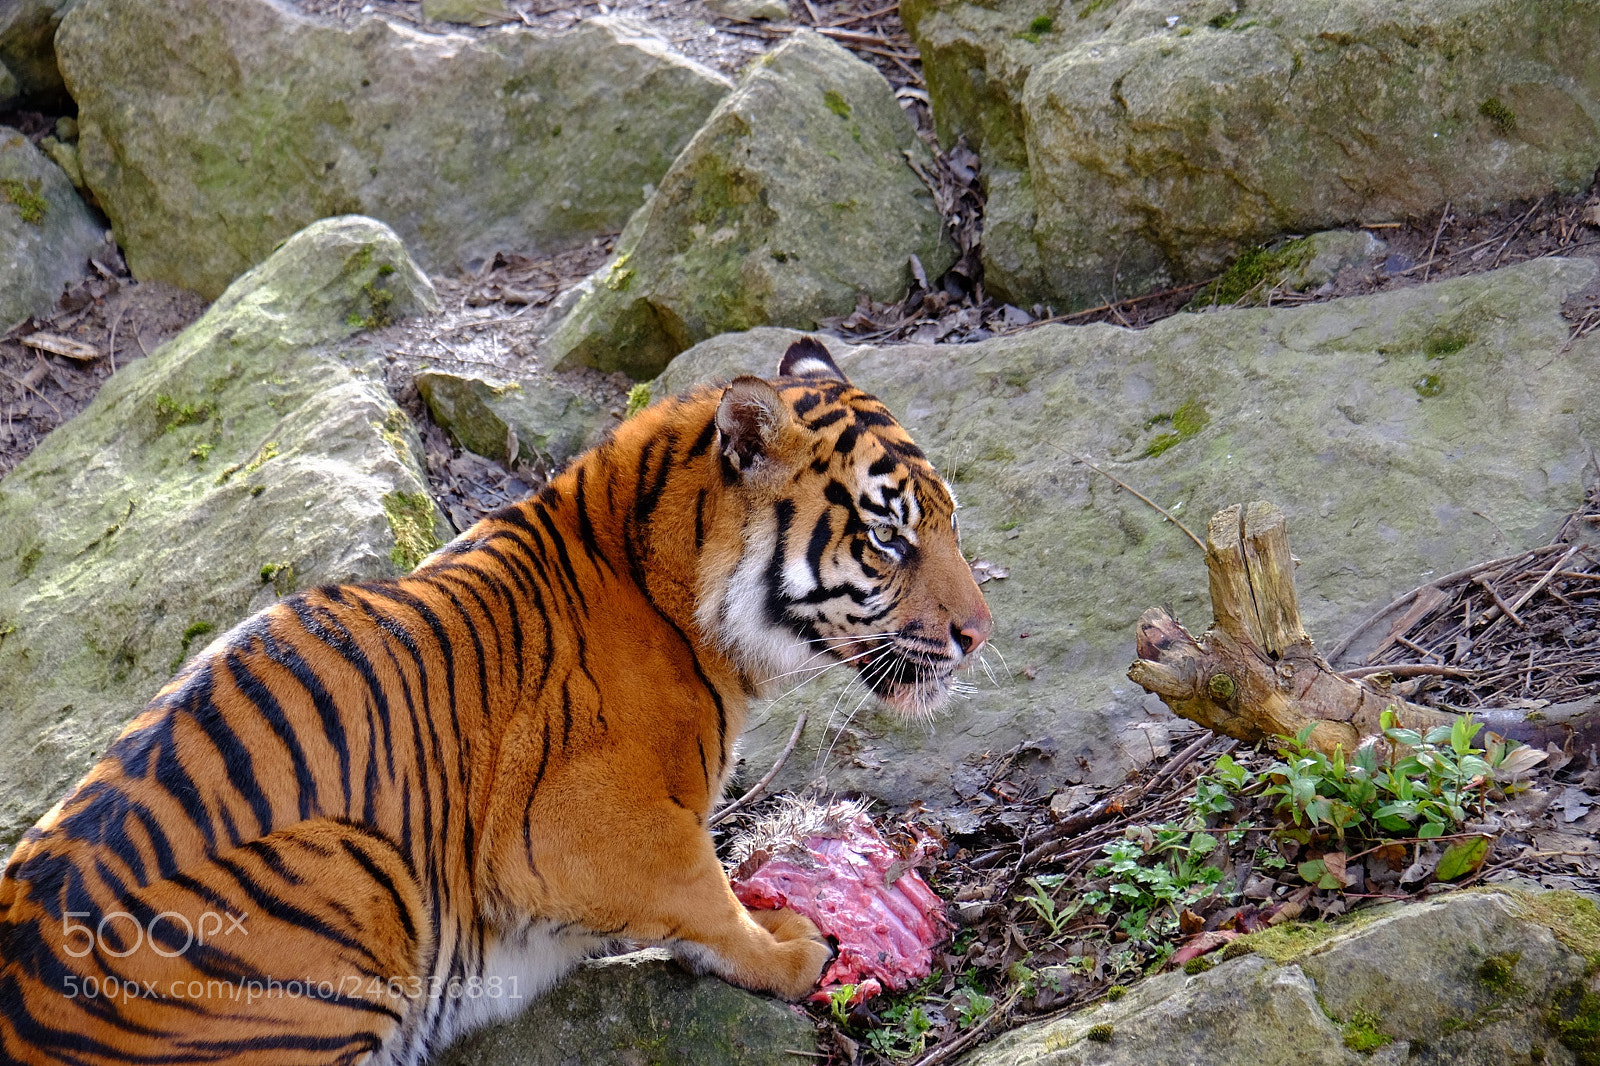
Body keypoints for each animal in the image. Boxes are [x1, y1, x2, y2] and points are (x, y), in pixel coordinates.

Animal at [0, 336, 993, 1065]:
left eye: (950, 519)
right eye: (888, 536)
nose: (979, 633)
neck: (672, 584)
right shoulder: (588, 827)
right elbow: (702, 889)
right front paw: (788, 949)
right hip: (353, 869)